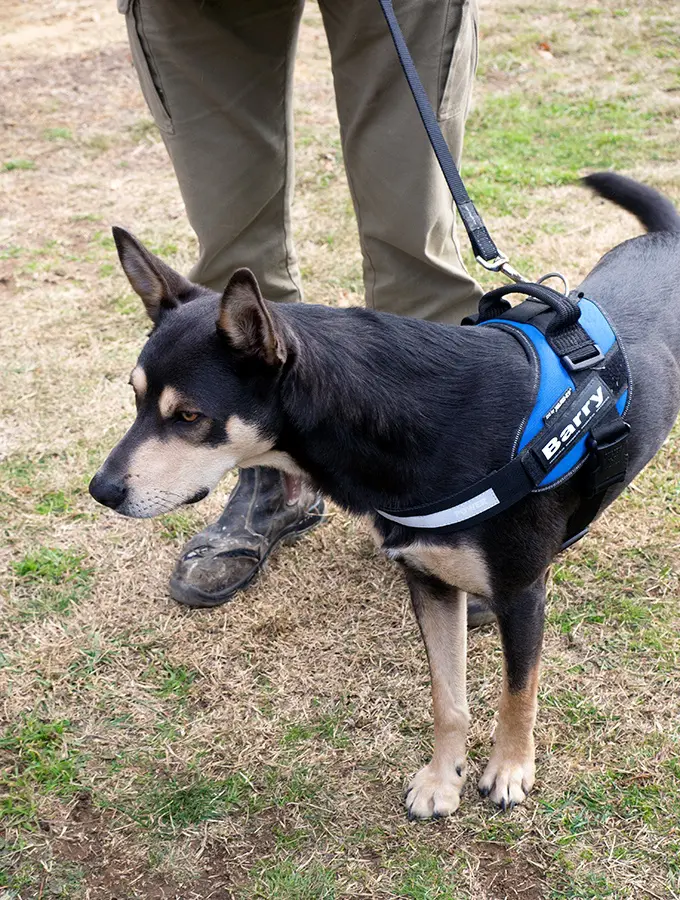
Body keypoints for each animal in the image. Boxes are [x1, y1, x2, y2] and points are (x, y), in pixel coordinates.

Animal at [90, 174, 680, 816]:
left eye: (190, 416)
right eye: (135, 398)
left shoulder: (521, 591)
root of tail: (667, 237)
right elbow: (448, 698)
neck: (406, 424)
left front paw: (509, 769)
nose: (101, 490)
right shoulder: (428, 580)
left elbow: (517, 690)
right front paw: (443, 779)